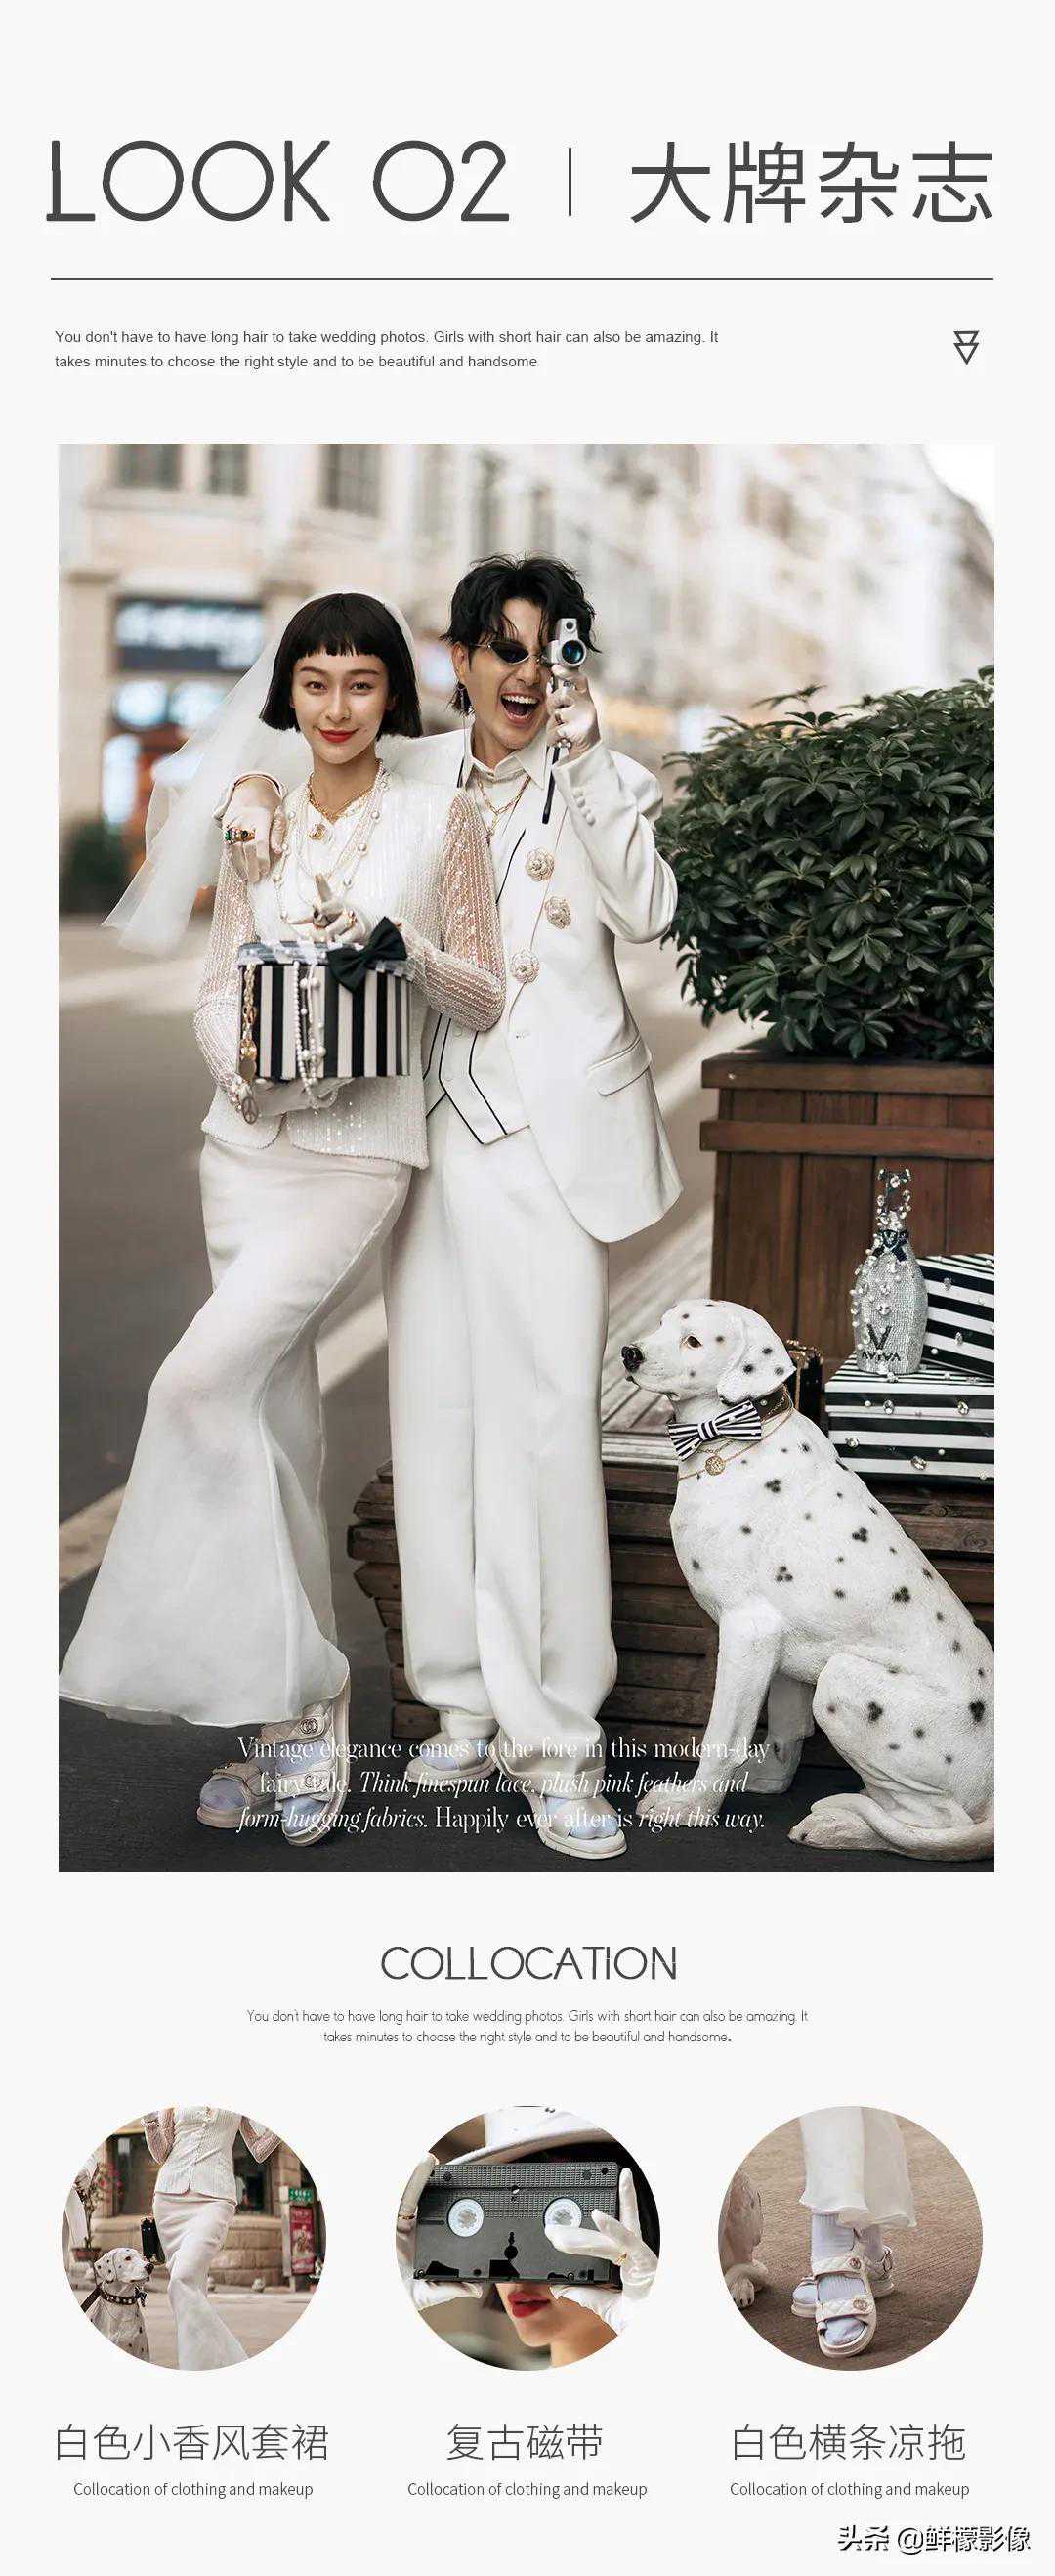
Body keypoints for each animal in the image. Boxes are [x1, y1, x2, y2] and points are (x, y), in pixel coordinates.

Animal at [623, 1300, 994, 1859]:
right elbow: (784, 1730)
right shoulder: (781, 1650)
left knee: (932, 1826)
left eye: (693, 1341)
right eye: (663, 1324)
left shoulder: (747, 1632)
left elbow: (722, 1735)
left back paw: (841, 1825)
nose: (630, 1352)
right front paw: (763, 1779)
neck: (734, 1434)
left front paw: (693, 1806)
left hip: (843, 1681)